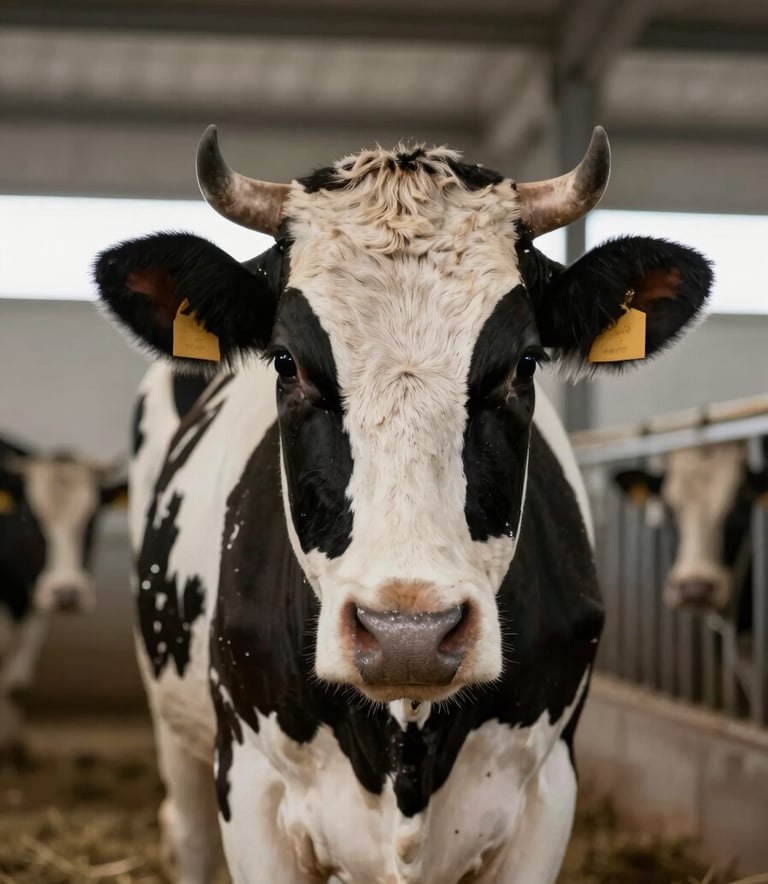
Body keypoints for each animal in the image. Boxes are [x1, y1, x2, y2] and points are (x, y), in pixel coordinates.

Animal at [94, 125, 712, 884]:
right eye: (286, 363)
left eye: (525, 364)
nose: (406, 635)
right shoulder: (248, 784)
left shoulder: (548, 792)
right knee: (184, 832)